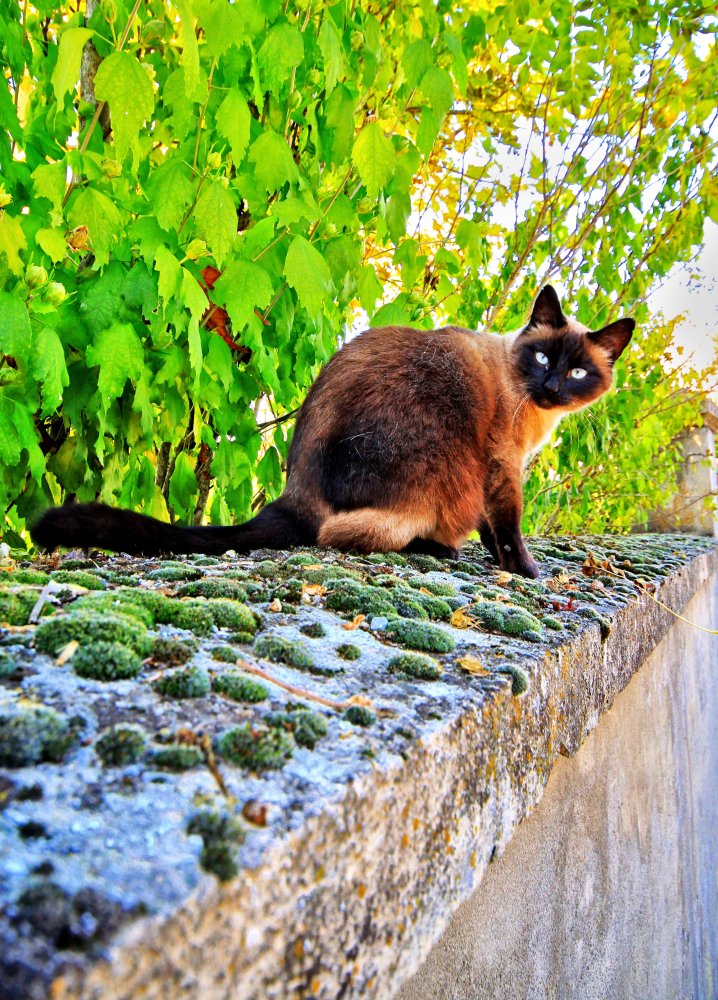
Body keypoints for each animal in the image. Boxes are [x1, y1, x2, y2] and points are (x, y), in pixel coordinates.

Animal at [31, 284, 632, 580]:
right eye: (543, 357)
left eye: (579, 372)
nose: (552, 386)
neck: (531, 409)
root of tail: (294, 493)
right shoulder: (501, 468)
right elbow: (508, 528)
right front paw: (527, 572)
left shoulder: (499, 473)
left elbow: (494, 530)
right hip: (444, 472)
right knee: (344, 536)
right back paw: (439, 550)